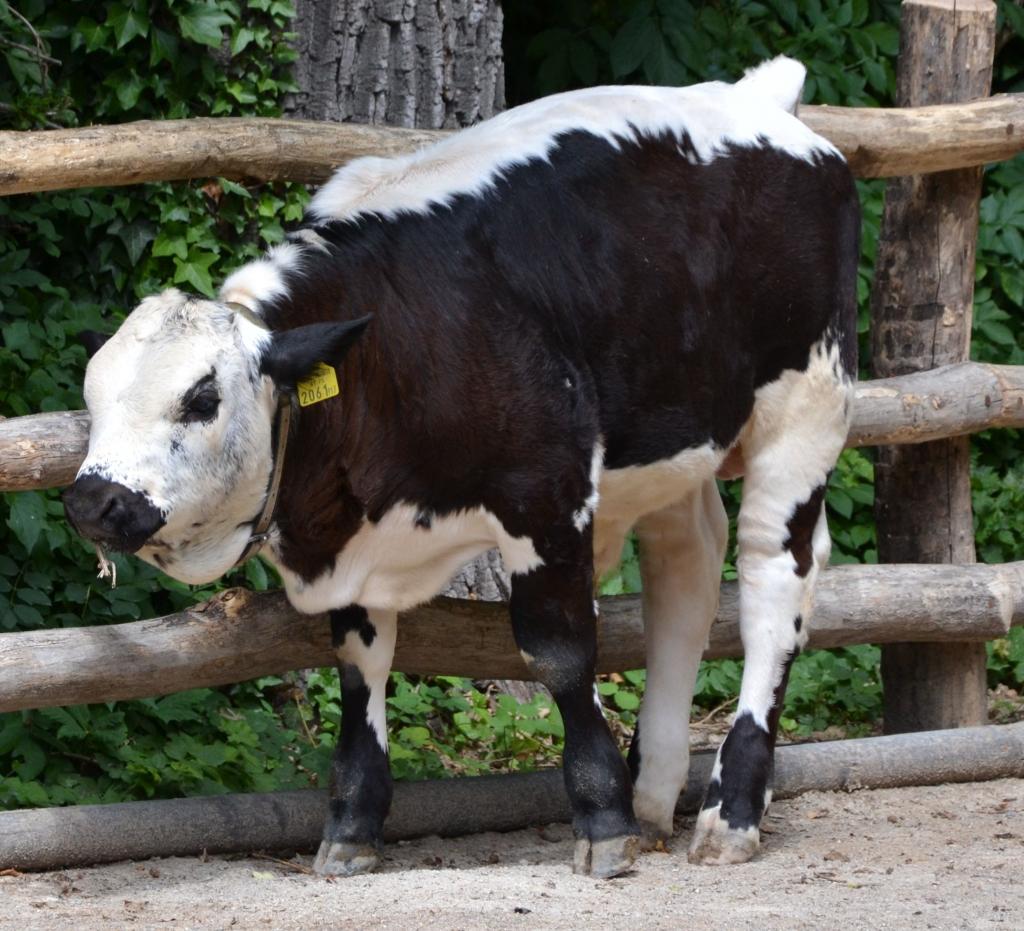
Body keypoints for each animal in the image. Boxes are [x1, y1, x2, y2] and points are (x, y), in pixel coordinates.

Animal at [62, 56, 859, 879]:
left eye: (201, 396)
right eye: (91, 394)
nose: (93, 501)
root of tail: (754, 99)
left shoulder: (548, 493)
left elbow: (560, 651)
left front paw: (601, 820)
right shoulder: (355, 537)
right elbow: (361, 664)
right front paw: (353, 823)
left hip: (806, 406)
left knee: (774, 580)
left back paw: (729, 811)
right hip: (673, 443)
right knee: (687, 570)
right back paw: (653, 792)